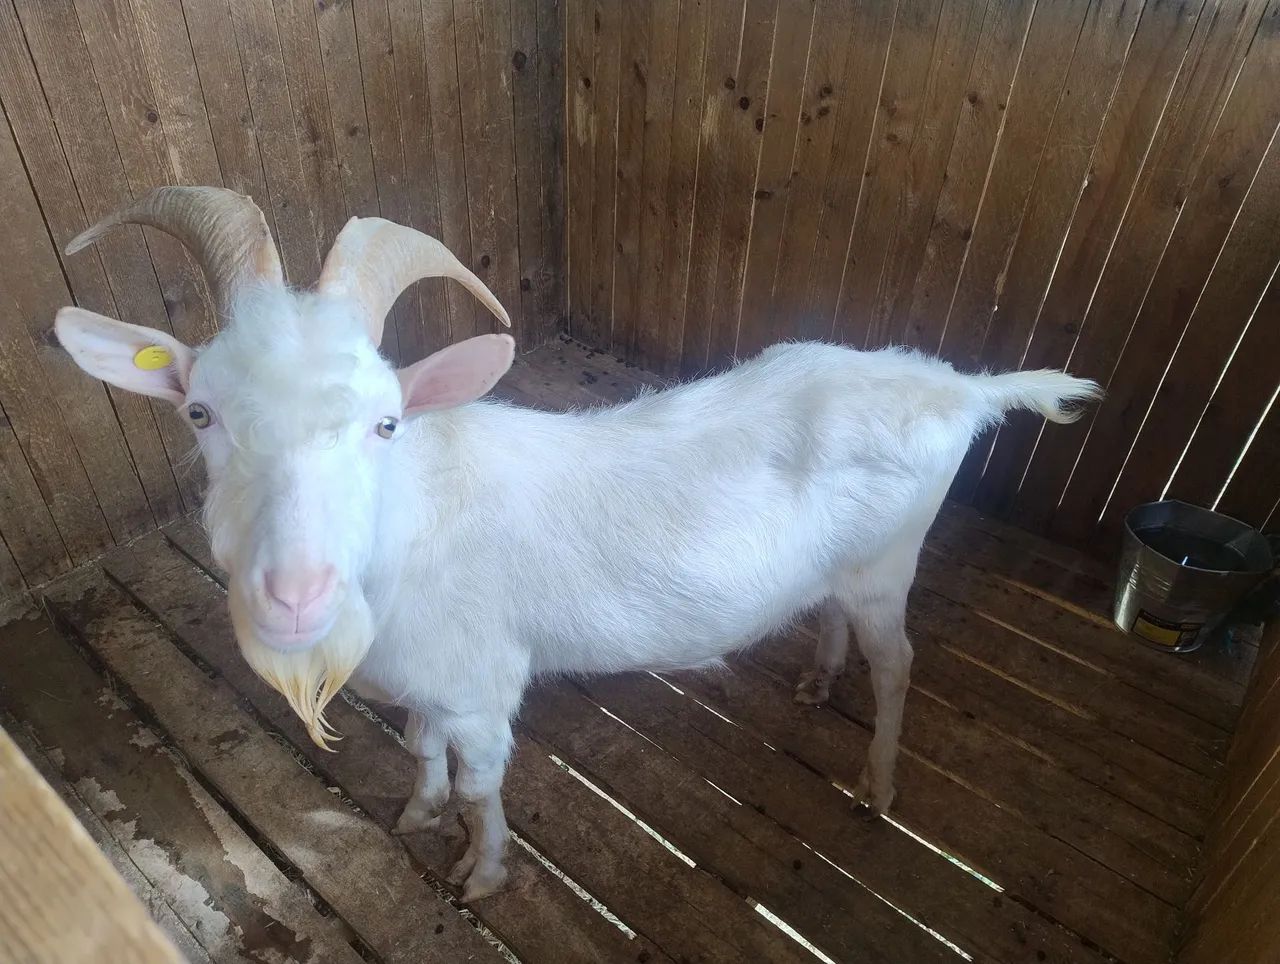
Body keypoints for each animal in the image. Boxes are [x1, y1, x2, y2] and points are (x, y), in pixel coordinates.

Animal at [55, 187, 1101, 901]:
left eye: (387, 423)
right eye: (199, 412)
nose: (296, 593)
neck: (417, 521)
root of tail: (958, 389)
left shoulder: (482, 687)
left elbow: (479, 783)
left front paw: (481, 871)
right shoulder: (432, 679)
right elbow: (418, 748)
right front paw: (416, 811)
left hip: (888, 566)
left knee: (898, 666)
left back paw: (877, 784)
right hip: (844, 570)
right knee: (834, 615)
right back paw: (816, 679)